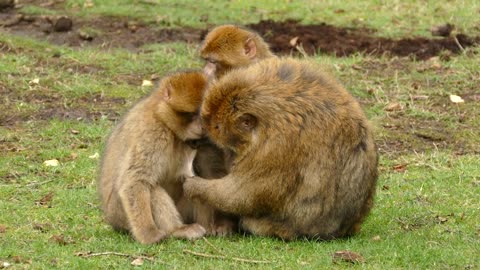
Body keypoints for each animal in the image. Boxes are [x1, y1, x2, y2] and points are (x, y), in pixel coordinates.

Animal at [98, 70, 208, 244]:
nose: (203, 127)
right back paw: (177, 230)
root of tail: (111, 220)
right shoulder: (151, 132)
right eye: (191, 114)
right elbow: (134, 181)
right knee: (152, 188)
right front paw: (148, 234)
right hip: (120, 214)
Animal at [184, 58, 378, 239]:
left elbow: (244, 195)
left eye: (217, 127)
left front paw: (196, 186)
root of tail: (345, 229)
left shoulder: (275, 148)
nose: (231, 158)